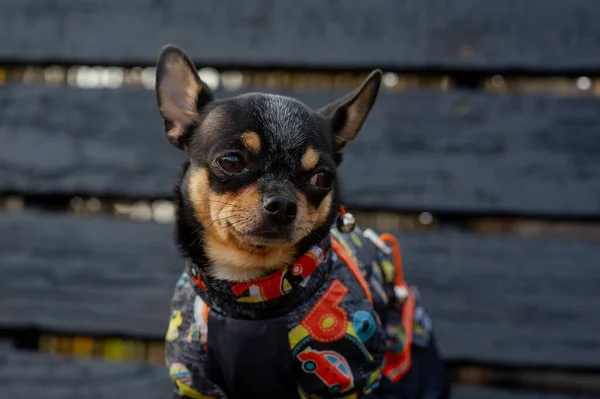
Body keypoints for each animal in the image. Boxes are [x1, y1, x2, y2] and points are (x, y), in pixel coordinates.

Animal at [157, 44, 448, 399]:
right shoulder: (195, 381)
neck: (251, 296)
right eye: (232, 161)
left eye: (323, 178)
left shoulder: (344, 378)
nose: (282, 204)